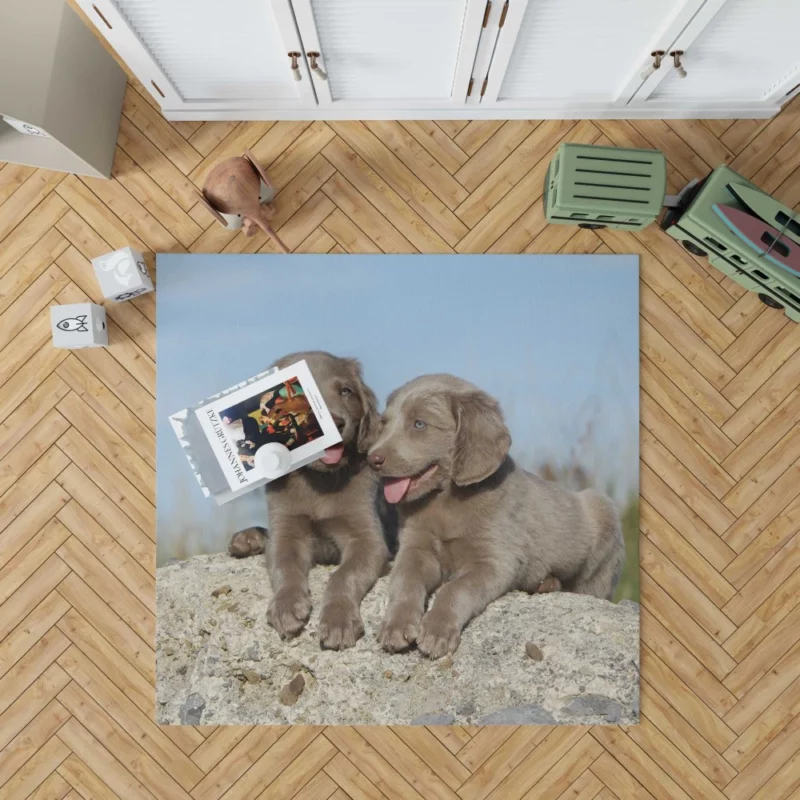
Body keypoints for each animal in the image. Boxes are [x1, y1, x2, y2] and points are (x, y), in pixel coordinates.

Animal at [228, 354, 390, 648]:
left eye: (345, 391)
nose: (335, 423)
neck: (320, 479)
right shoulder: (286, 529)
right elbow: (284, 565)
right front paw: (286, 606)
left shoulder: (367, 538)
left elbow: (343, 575)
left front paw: (338, 620)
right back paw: (247, 539)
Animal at [368, 372, 624, 660]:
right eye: (384, 423)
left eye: (419, 424)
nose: (372, 459)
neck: (446, 501)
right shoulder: (415, 548)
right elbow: (405, 580)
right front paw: (396, 625)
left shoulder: (495, 561)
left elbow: (455, 589)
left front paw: (436, 630)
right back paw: (546, 583)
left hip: (602, 523)